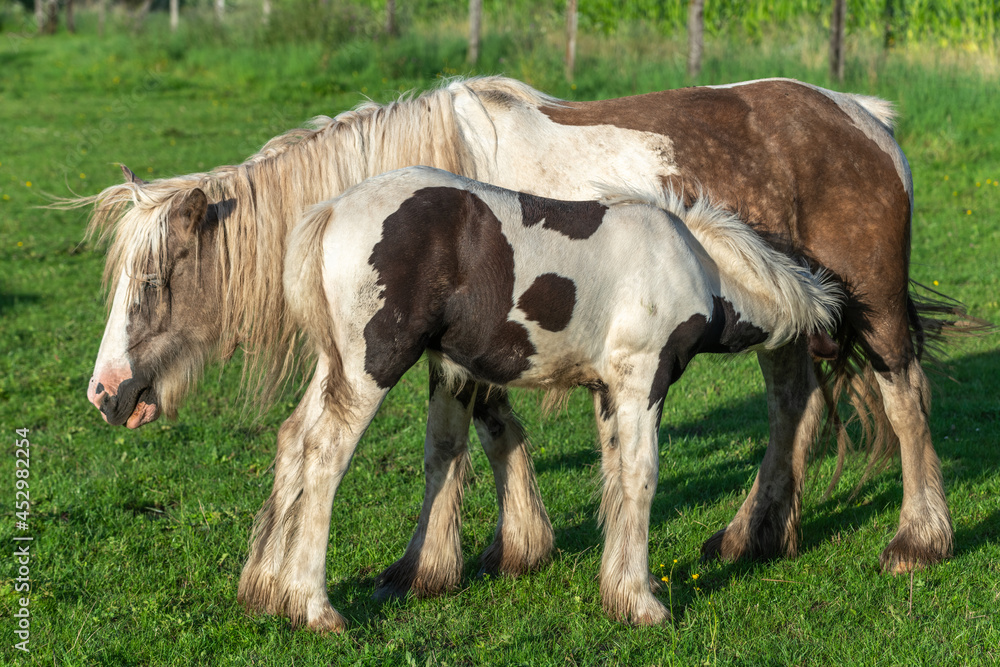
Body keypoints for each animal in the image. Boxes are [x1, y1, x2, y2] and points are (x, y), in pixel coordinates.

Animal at [81, 76, 970, 610]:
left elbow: (472, 433)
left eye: (156, 280)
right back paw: (753, 534)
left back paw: (918, 540)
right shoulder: (467, 345)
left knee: (907, 399)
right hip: (789, 318)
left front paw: (476, 552)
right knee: (793, 406)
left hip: (875, 308)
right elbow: (468, 436)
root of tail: (864, 116)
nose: (107, 392)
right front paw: (467, 556)